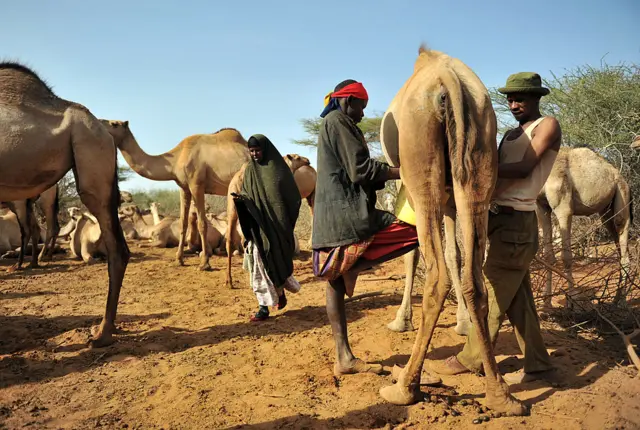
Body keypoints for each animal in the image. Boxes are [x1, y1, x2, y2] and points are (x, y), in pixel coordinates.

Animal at [102, 119, 250, 270]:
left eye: (114, 124)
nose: (99, 122)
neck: (176, 159)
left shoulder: (196, 184)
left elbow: (202, 224)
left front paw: (204, 263)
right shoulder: (184, 187)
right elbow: (183, 222)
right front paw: (179, 260)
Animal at [376, 47, 524, 416]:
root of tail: (449, 82)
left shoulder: (409, 185)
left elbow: (415, 253)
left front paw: (400, 320)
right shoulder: (452, 200)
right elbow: (455, 253)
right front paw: (462, 322)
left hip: (421, 163)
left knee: (436, 276)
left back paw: (403, 387)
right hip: (478, 158)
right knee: (475, 278)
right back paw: (501, 396)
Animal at [536, 147, 632, 306]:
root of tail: (624, 181)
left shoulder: (564, 207)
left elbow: (567, 257)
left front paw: (571, 301)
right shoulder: (541, 206)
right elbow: (548, 256)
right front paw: (546, 302)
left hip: (622, 195)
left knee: (621, 228)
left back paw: (622, 301)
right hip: (606, 212)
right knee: (617, 242)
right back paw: (616, 298)